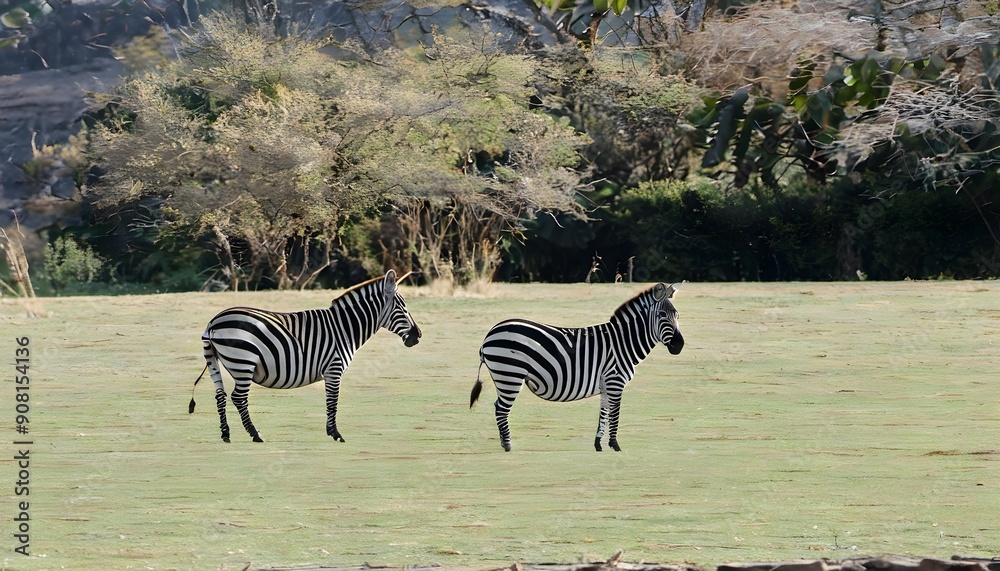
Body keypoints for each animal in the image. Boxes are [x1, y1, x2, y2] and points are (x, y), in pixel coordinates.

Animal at [189, 269, 421, 443]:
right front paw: (335, 434)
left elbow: (330, 401)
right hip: (243, 362)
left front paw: (331, 432)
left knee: (220, 395)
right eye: (403, 309)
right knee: (238, 398)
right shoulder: (334, 368)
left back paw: (226, 434)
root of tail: (213, 321)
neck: (344, 328)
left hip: (215, 361)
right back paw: (256, 435)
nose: (417, 336)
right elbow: (332, 401)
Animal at [469, 282, 684, 452]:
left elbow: (604, 413)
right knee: (501, 410)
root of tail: (490, 333)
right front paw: (615, 445)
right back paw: (507, 445)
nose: (679, 346)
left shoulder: (606, 384)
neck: (622, 343)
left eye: (677, 315)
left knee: (498, 407)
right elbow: (615, 413)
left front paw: (598, 444)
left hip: (505, 376)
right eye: (662, 315)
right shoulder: (615, 380)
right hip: (510, 374)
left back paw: (503, 442)